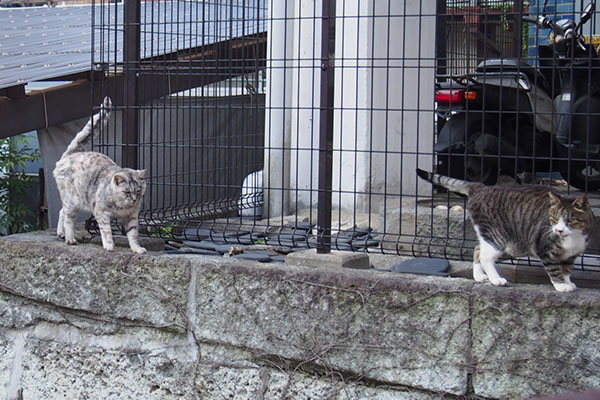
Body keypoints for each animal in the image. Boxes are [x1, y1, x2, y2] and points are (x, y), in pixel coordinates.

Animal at [54, 97, 148, 253]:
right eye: (127, 192)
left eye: (139, 190)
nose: (135, 200)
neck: (122, 206)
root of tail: (71, 155)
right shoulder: (101, 213)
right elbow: (106, 231)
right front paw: (109, 245)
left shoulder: (132, 217)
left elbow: (133, 234)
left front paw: (137, 248)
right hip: (72, 201)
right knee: (68, 219)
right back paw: (70, 238)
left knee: (62, 211)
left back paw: (61, 233)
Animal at [418, 167, 596, 292]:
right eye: (554, 218)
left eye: (570, 220)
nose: (558, 230)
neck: (573, 237)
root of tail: (481, 187)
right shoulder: (545, 248)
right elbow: (554, 269)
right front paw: (561, 286)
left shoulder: (571, 255)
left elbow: (566, 270)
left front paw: (568, 282)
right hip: (497, 236)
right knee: (485, 257)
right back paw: (496, 280)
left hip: (488, 236)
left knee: (477, 249)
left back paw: (479, 276)